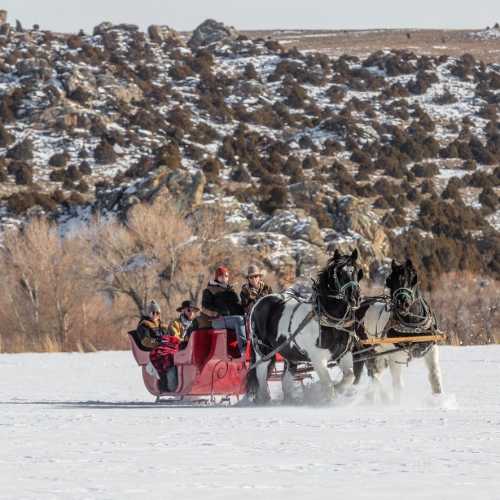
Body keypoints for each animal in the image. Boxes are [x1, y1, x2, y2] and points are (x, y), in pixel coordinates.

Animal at [246, 248, 364, 404]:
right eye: (338, 272)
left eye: (357, 271)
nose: (355, 298)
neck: (331, 322)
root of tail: (260, 302)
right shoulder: (318, 358)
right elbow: (327, 384)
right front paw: (330, 399)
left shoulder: (344, 353)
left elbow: (349, 376)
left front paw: (339, 389)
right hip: (263, 352)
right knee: (261, 376)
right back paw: (265, 401)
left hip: (290, 356)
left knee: (285, 381)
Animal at [356, 260, 442, 400]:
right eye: (389, 280)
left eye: (413, 278)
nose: (402, 304)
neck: (412, 327)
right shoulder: (394, 357)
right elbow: (398, 385)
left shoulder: (431, 349)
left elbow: (435, 377)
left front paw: (440, 399)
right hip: (369, 351)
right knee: (374, 375)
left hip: (380, 354)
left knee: (376, 374)